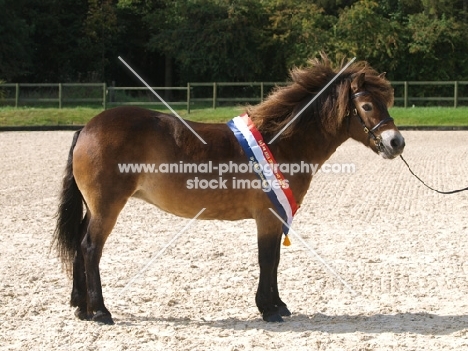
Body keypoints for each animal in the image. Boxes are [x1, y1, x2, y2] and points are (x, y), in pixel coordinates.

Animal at [54, 56, 406, 326]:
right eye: (367, 105)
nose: (396, 142)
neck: (280, 143)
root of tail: (87, 128)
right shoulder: (268, 216)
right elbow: (268, 259)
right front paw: (269, 308)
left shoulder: (276, 217)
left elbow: (274, 260)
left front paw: (277, 305)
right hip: (107, 207)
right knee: (90, 248)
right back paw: (100, 311)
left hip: (95, 208)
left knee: (79, 244)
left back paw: (81, 307)